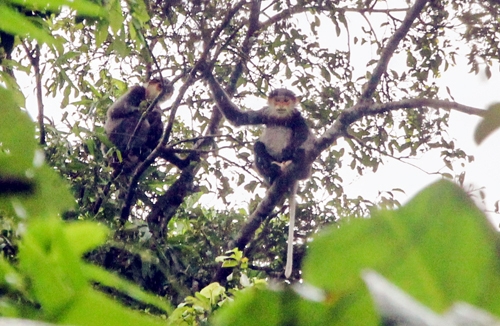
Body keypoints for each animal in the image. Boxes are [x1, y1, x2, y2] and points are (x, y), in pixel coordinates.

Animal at [205, 71, 314, 278]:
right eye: (278, 100)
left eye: (286, 100)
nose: (281, 106)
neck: (280, 117)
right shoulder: (266, 113)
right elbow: (239, 118)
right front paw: (206, 71)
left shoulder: (296, 116)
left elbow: (306, 134)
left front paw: (295, 152)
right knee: (258, 145)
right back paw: (273, 172)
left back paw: (293, 161)